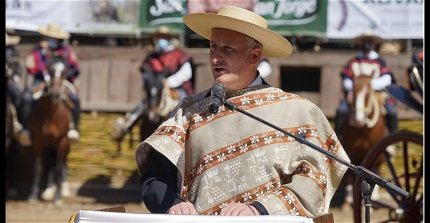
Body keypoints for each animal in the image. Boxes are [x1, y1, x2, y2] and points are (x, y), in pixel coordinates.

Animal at [26, 55, 73, 204]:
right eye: (50, 71)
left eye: (64, 73)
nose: (55, 94)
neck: (50, 115)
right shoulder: (38, 140)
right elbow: (39, 167)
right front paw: (33, 195)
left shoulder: (61, 141)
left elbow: (58, 167)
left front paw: (58, 198)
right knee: (50, 164)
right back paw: (48, 191)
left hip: (65, 144)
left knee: (61, 163)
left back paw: (62, 189)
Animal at [338, 75, 388, 207]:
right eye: (353, 91)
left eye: (369, 93)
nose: (358, 120)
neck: (363, 130)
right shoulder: (351, 151)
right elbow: (350, 175)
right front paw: (348, 200)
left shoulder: (374, 151)